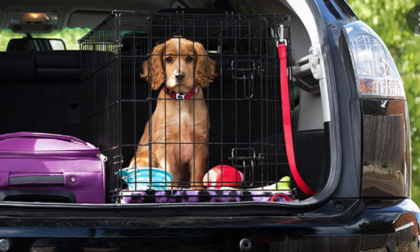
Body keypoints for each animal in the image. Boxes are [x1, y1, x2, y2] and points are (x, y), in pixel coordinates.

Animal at [130, 36, 217, 188]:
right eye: (169, 59)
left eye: (189, 58)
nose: (179, 75)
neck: (181, 98)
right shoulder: (164, 142)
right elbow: (169, 170)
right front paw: (171, 188)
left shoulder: (200, 140)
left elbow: (198, 170)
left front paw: (197, 188)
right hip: (144, 159)